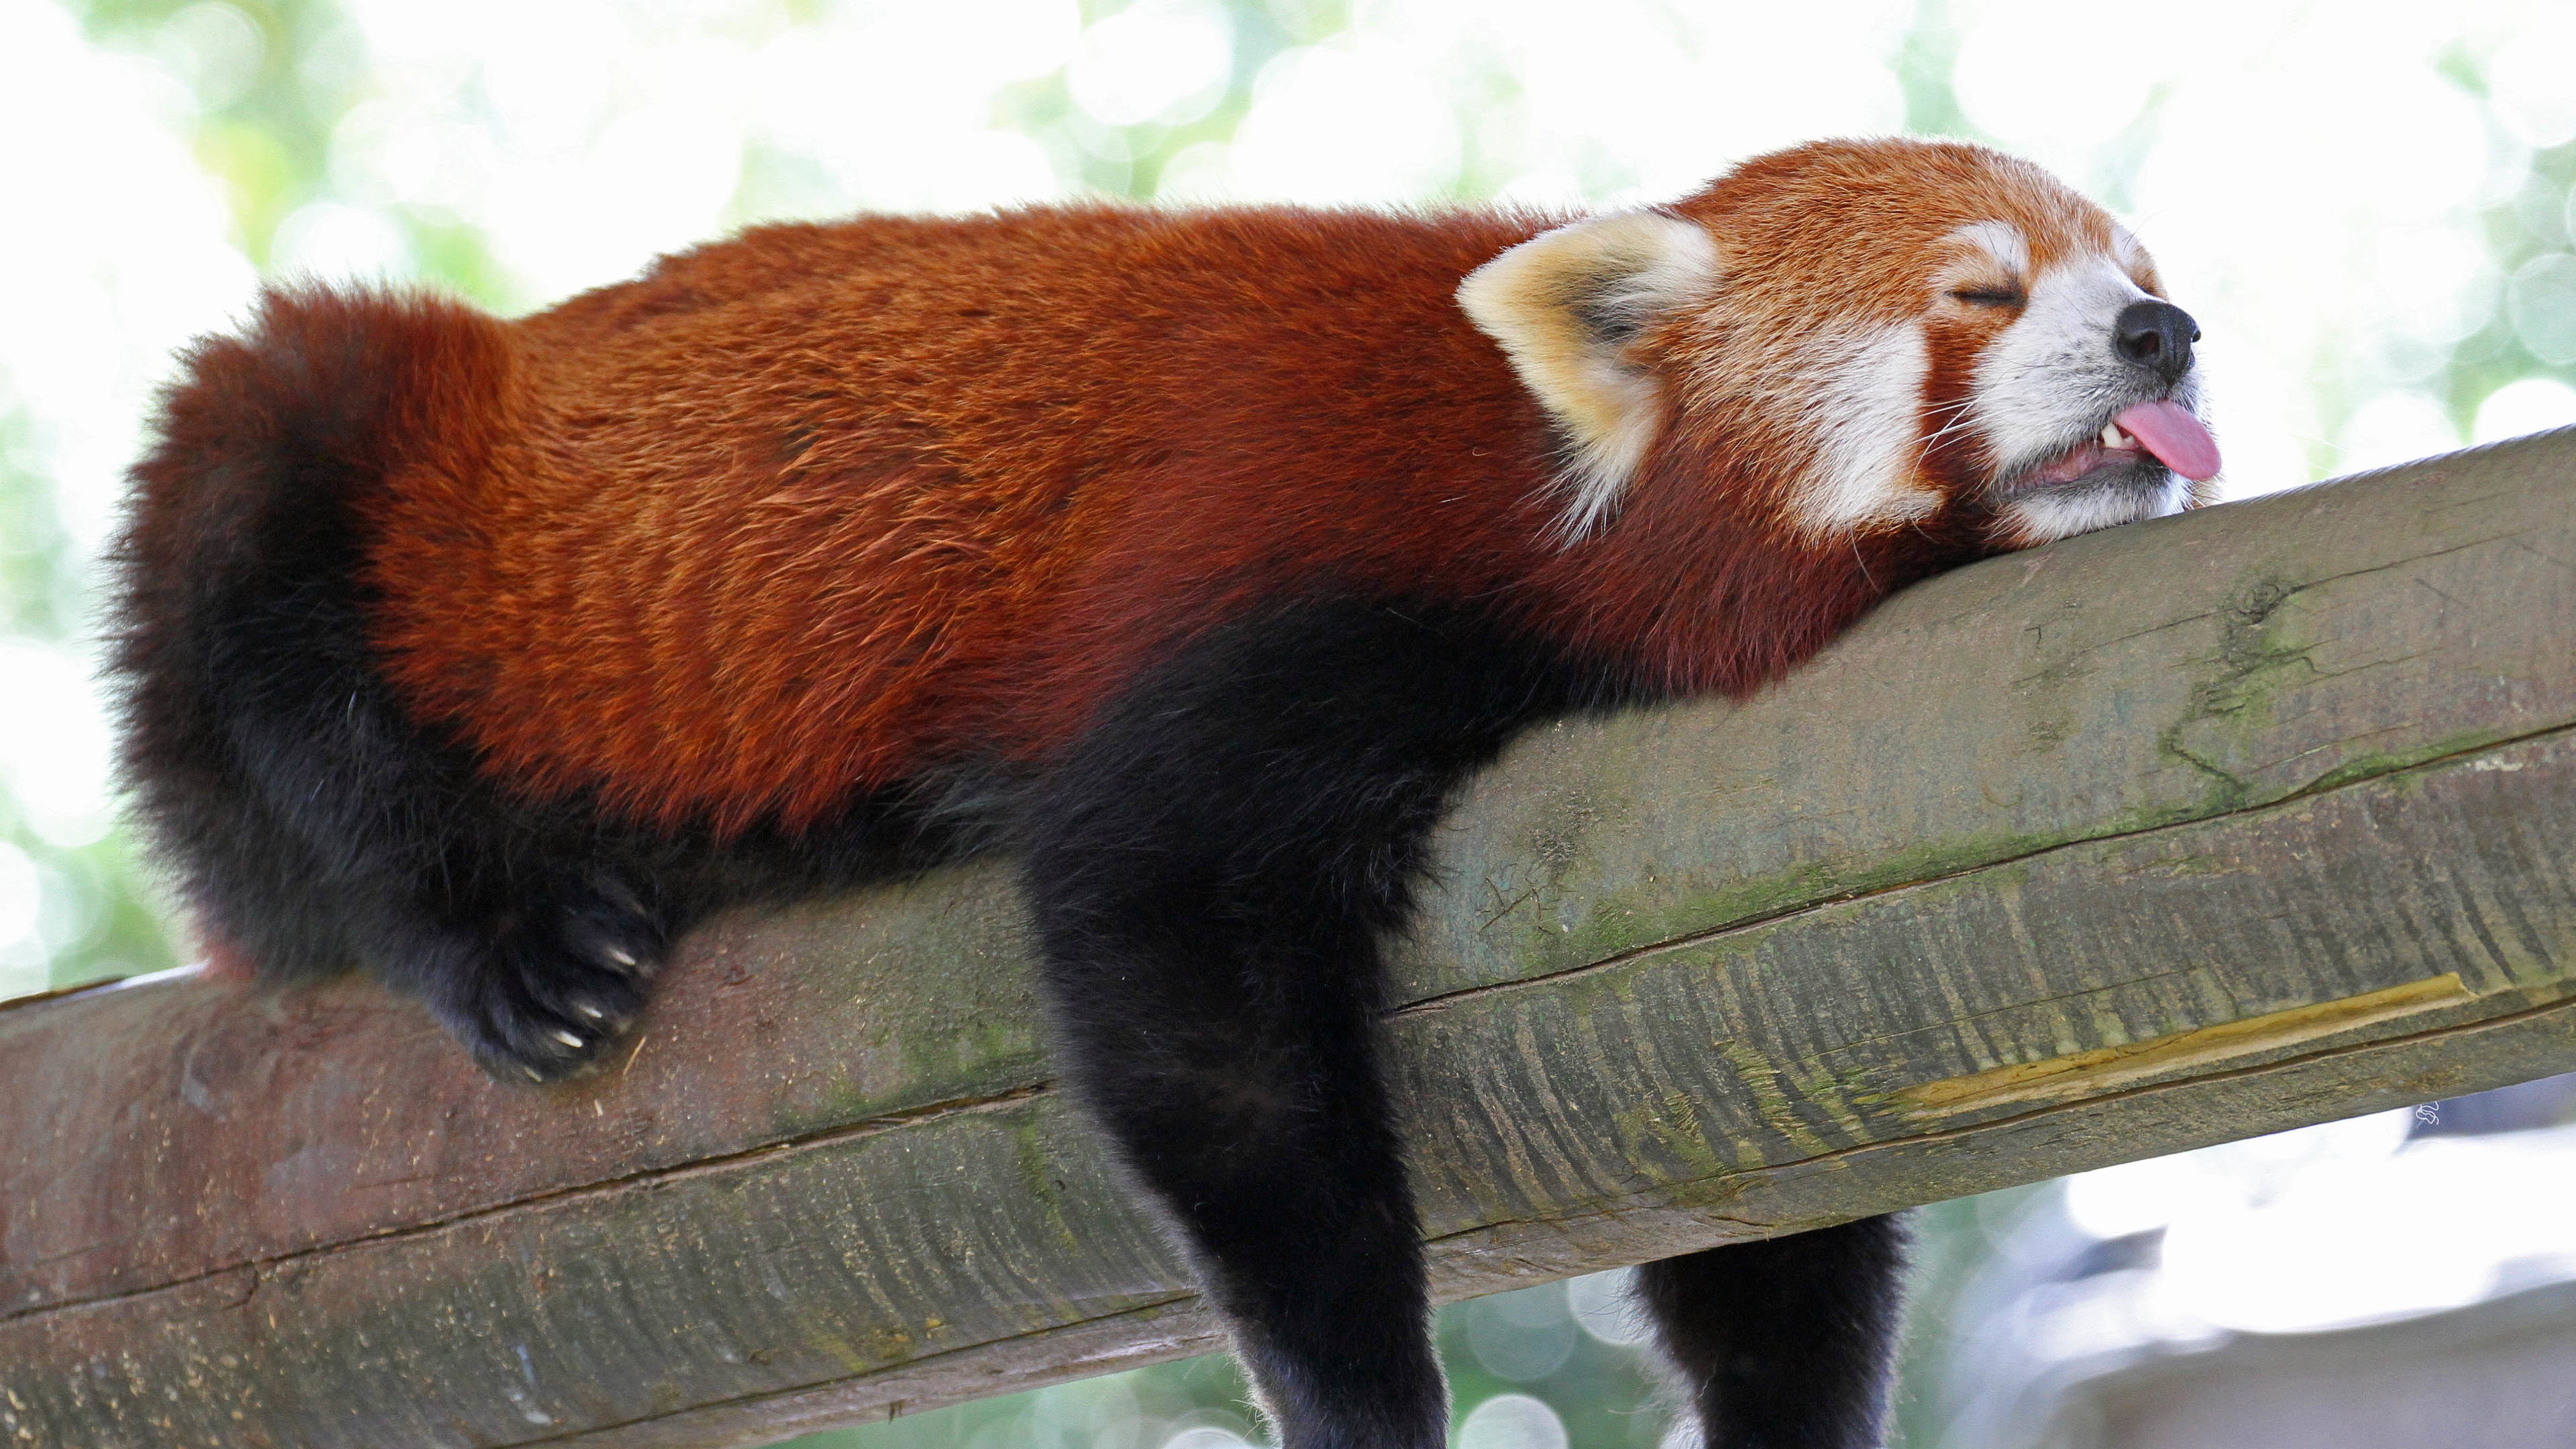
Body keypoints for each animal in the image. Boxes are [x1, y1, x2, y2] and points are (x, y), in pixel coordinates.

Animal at [116, 138, 2215, 1443]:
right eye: (1983, 292)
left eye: (2137, 272)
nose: (2165, 331)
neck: (1538, 474)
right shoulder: (1273, 572)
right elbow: (1184, 978)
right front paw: (1362, 1393)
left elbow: (1756, 1157)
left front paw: (1792, 1401)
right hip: (372, 483)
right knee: (269, 570)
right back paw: (494, 927)